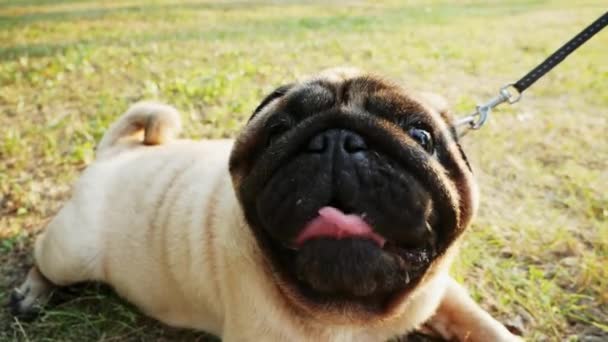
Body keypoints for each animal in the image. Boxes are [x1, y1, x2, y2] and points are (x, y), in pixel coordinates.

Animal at [11, 68, 520, 340]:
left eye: (421, 135)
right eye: (277, 133)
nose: (338, 141)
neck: (355, 313)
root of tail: (119, 152)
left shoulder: (438, 295)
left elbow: (481, 323)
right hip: (72, 252)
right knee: (45, 261)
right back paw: (31, 292)